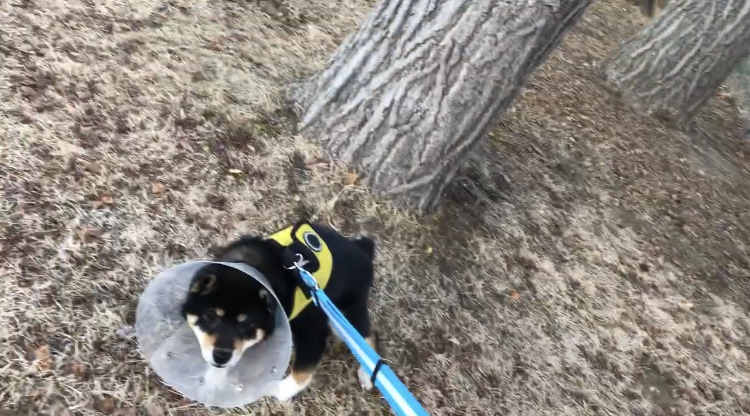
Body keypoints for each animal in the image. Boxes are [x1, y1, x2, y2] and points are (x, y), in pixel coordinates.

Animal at [180, 220, 378, 401]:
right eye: (210, 315)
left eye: (247, 322)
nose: (221, 357)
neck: (254, 268)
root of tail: (363, 251)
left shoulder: (312, 330)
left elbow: (303, 370)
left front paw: (279, 390)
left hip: (345, 312)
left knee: (367, 336)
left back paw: (367, 373)